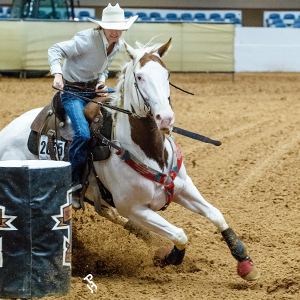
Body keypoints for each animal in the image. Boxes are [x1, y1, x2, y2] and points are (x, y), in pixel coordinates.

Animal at [0, 38, 258, 280]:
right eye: (140, 77)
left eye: (167, 74)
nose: (166, 118)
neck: (149, 151)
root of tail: (6, 134)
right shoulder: (134, 207)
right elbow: (179, 234)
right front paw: (167, 257)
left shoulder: (183, 189)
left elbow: (216, 215)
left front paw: (245, 263)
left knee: (109, 213)